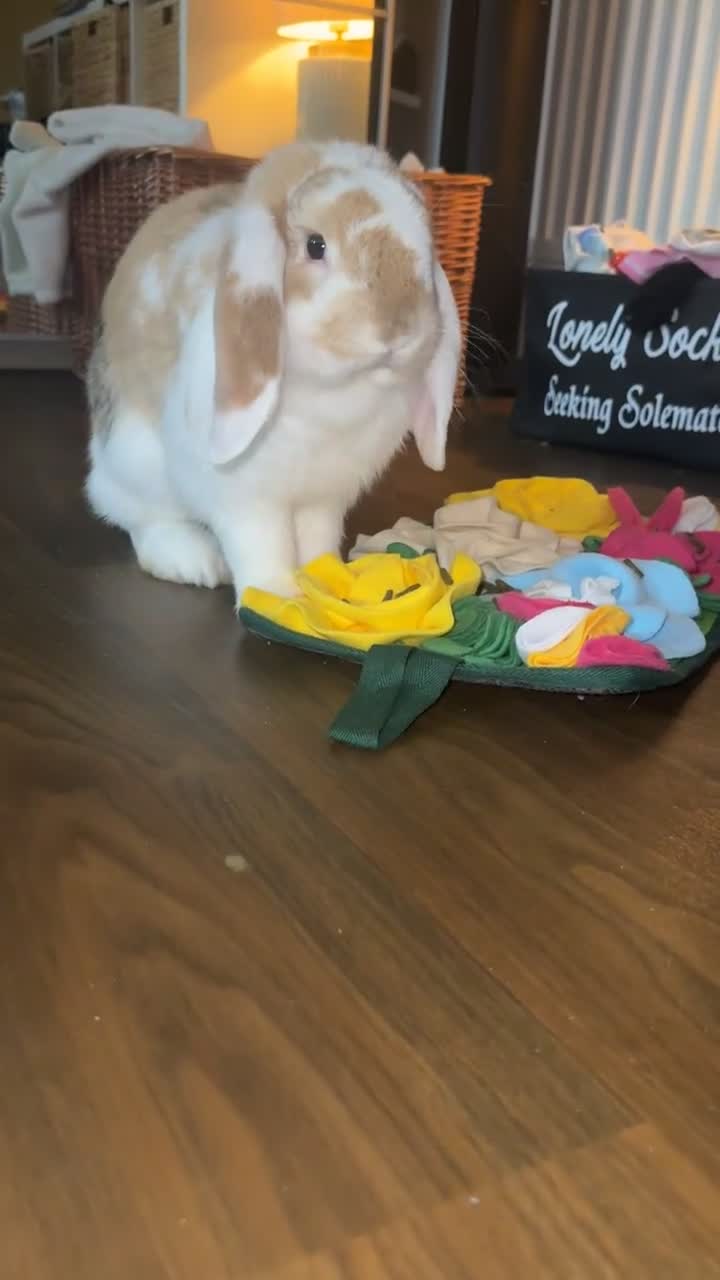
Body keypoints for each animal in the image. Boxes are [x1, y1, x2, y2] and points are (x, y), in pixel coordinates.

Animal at [85, 140, 461, 602]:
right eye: (315, 245)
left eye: (426, 245)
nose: (399, 328)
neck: (336, 392)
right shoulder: (248, 500)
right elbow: (261, 543)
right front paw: (276, 595)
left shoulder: (322, 498)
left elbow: (316, 539)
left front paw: (324, 580)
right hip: (137, 465)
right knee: (141, 517)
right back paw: (192, 562)